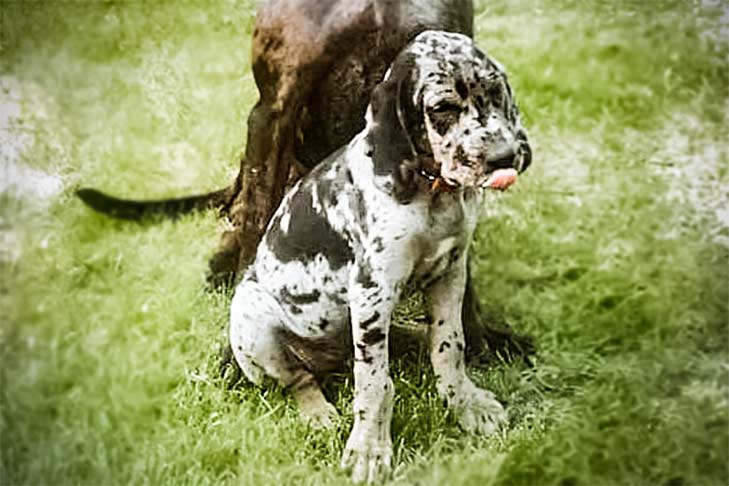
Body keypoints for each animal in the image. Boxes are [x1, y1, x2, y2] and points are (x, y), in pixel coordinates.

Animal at [230, 30, 532, 482]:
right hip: (253, 320)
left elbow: (451, 345)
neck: (430, 192)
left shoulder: (450, 273)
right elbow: (375, 384)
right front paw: (369, 449)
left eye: (495, 93)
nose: (503, 159)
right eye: (443, 108)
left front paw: (464, 403)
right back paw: (318, 412)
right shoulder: (374, 290)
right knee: (298, 379)